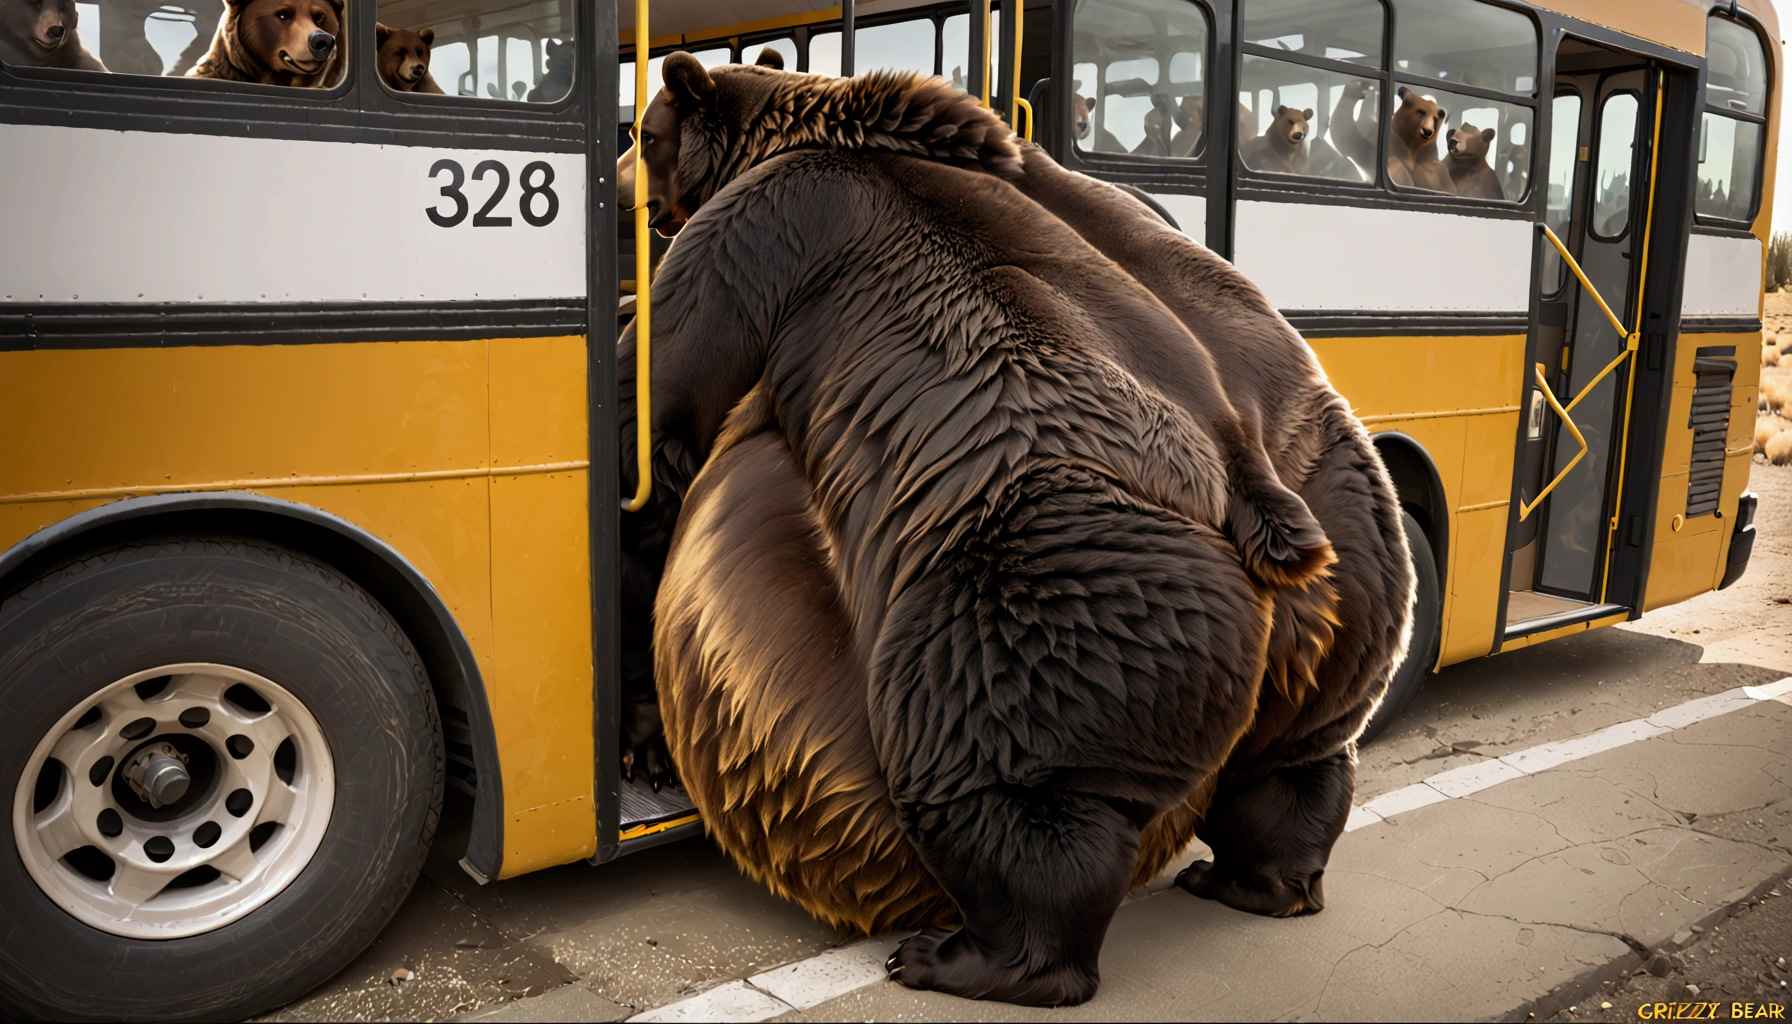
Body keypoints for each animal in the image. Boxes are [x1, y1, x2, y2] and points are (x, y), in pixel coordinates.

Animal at [616, 52, 1412, 1004]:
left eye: (643, 131)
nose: (617, 182)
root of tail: (1243, 471)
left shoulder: (767, 238)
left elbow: (663, 413)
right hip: (1342, 539)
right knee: (1297, 759)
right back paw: (1251, 880)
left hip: (1042, 566)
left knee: (1000, 780)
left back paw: (961, 954)